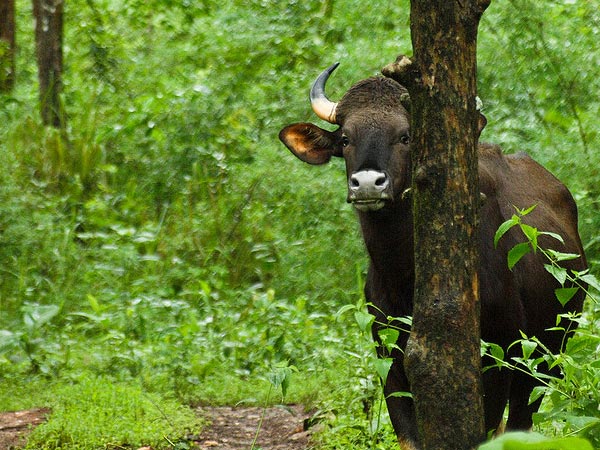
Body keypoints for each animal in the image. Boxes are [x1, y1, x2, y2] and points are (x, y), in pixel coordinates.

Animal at [280, 64, 584, 450]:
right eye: (346, 138)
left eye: (406, 136)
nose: (367, 184)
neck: (405, 277)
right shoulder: (389, 357)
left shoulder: (499, 354)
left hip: (547, 353)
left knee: (521, 421)